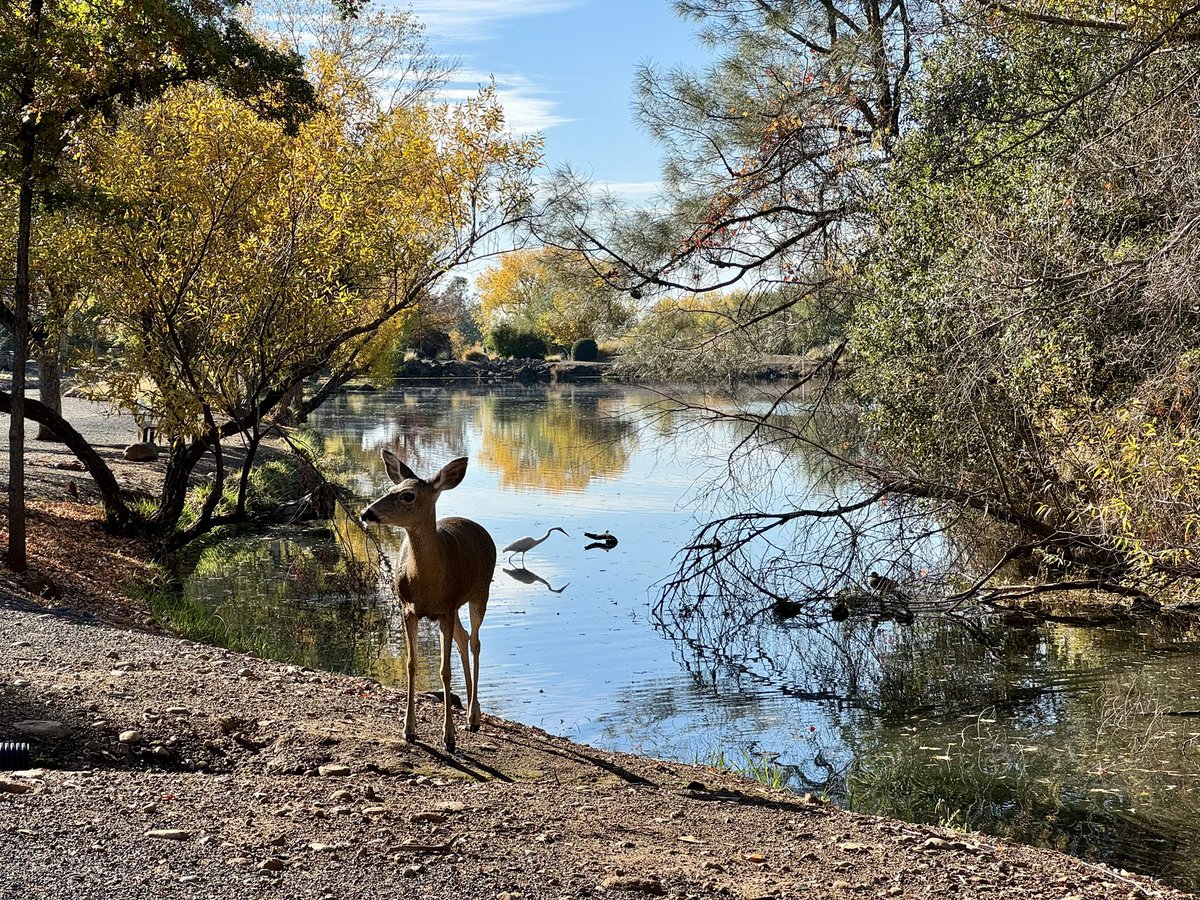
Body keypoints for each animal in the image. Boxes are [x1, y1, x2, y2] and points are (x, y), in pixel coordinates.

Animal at [357, 451, 494, 753]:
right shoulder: (409, 608)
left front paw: (449, 738)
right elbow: (411, 664)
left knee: (476, 641)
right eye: (392, 488)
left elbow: (444, 671)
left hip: (480, 591)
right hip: (456, 606)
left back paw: (473, 717)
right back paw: (472, 712)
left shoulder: (446, 608)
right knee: (464, 637)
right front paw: (408, 730)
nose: (366, 513)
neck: (427, 583)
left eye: (408, 495)